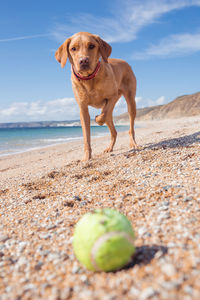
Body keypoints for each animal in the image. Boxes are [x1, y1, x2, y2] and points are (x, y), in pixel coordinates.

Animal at [54, 31, 137, 161]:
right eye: (73, 48)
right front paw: (86, 157)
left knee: (129, 126)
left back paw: (133, 143)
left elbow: (103, 115)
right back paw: (109, 147)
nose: (83, 61)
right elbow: (86, 137)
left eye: (91, 46)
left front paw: (97, 119)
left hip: (130, 101)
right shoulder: (83, 108)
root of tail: (125, 62)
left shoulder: (113, 95)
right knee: (113, 130)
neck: (89, 78)